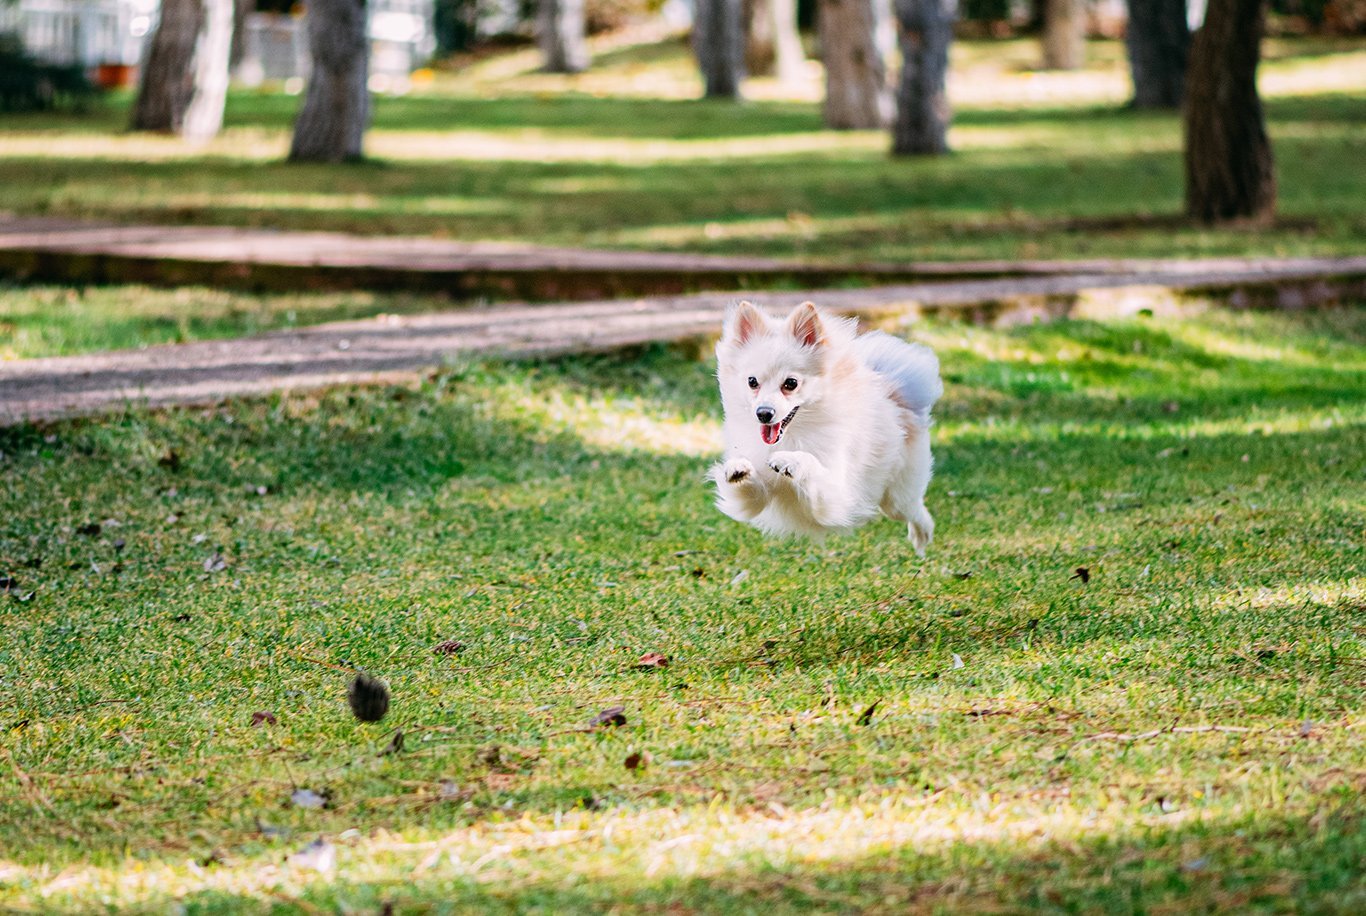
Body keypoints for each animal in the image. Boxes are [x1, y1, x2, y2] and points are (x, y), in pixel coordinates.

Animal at [710, 304, 945, 554]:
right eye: (752, 382)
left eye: (790, 384)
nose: (763, 413)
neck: (793, 435)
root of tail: (896, 397)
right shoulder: (754, 500)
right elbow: (750, 488)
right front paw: (738, 468)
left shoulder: (836, 497)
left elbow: (811, 463)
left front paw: (790, 460)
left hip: (897, 497)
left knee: (914, 509)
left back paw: (922, 536)